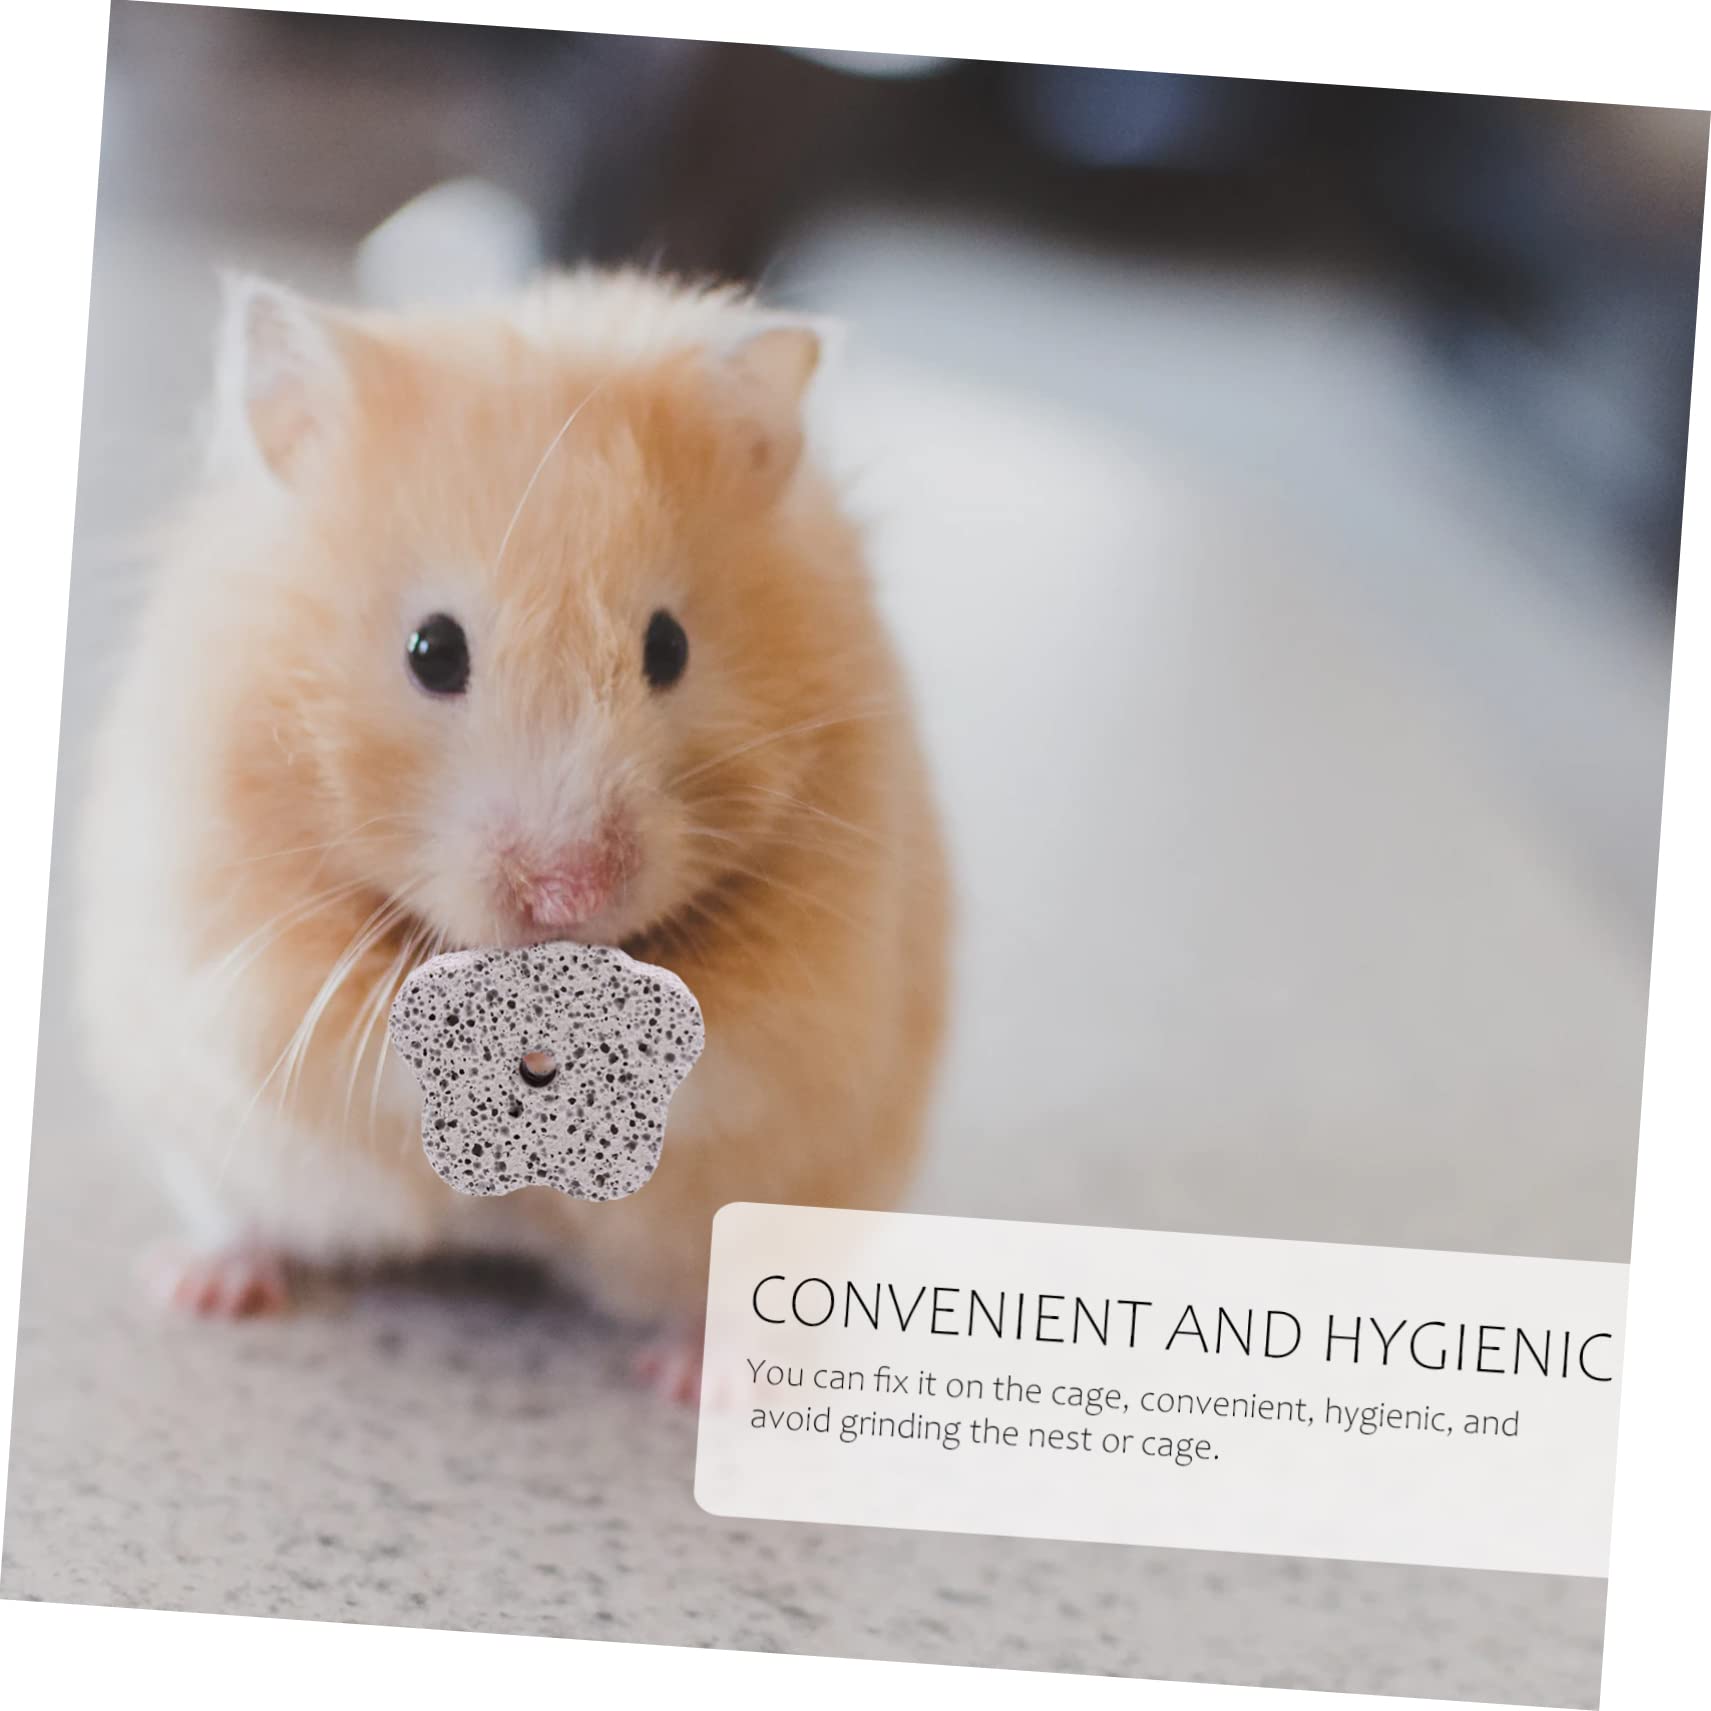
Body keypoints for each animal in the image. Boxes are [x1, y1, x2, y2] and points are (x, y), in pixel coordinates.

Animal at [76, 267, 951, 1392]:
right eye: (431, 649)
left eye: (668, 646)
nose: (568, 894)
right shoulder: (239, 951)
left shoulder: (811, 993)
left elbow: (713, 1062)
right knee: (247, 1220)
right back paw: (202, 1285)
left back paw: (691, 1374)